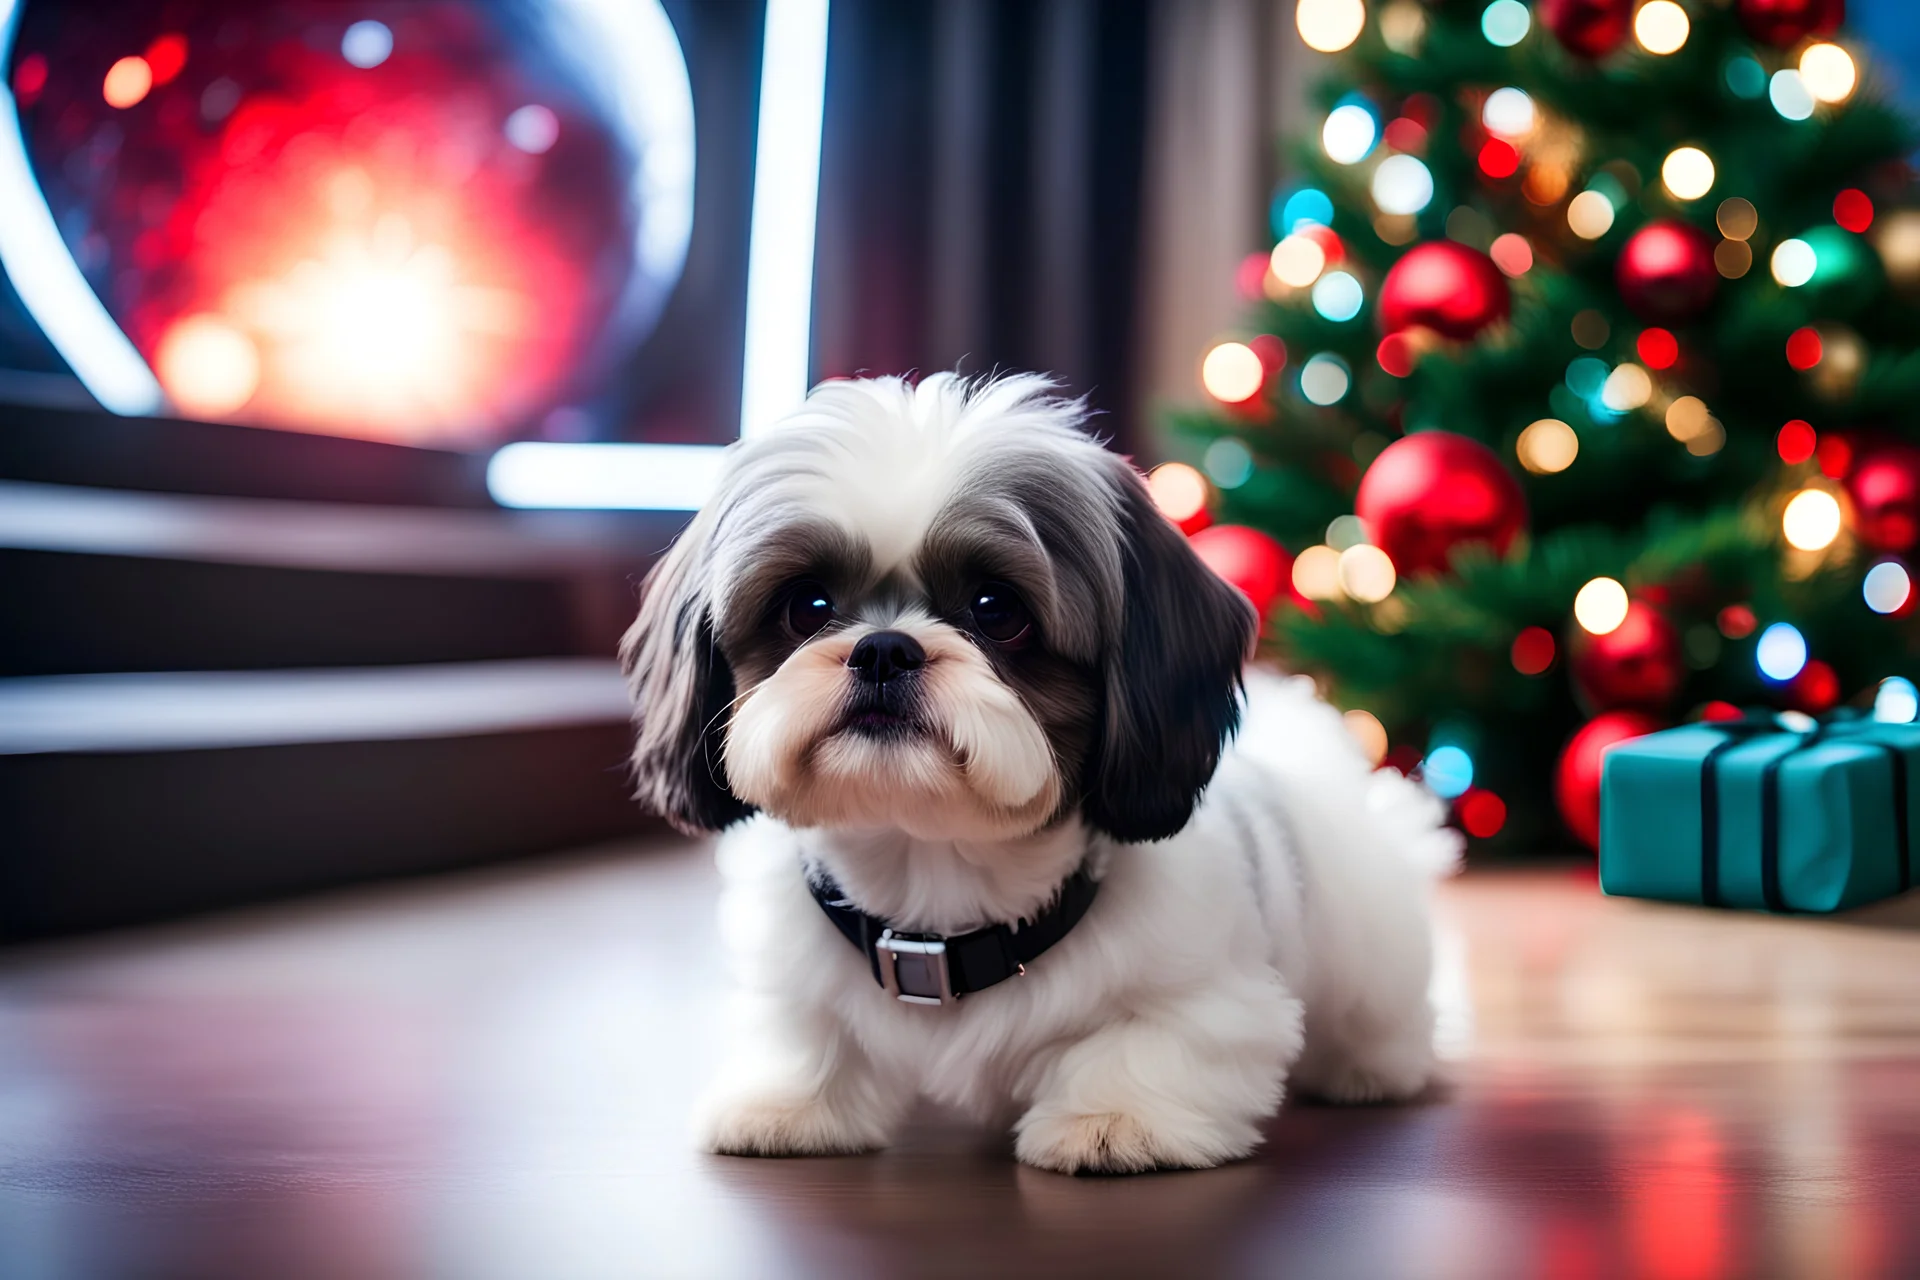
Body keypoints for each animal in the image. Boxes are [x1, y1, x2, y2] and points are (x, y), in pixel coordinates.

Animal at [618, 370, 1451, 1174]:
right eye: (806, 605)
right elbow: (806, 1036)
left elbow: (1150, 1047)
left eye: (997, 609)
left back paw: (1371, 1070)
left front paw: (1116, 1120)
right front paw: (787, 1104)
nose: (883, 648)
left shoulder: (1206, 998)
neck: (936, 878)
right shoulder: (793, 980)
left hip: (1368, 956)